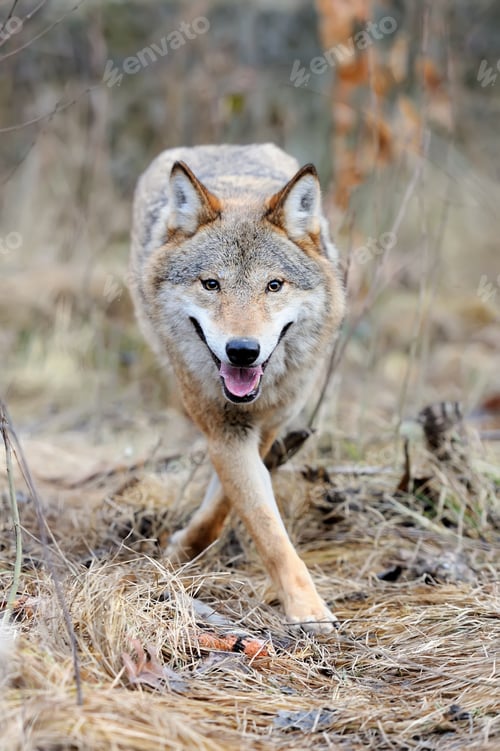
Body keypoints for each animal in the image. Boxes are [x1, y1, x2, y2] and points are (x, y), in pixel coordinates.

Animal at [129, 143, 345, 633]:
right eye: (211, 284)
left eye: (273, 285)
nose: (243, 351)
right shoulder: (223, 427)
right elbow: (265, 526)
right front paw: (306, 609)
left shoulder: (263, 425)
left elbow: (231, 502)